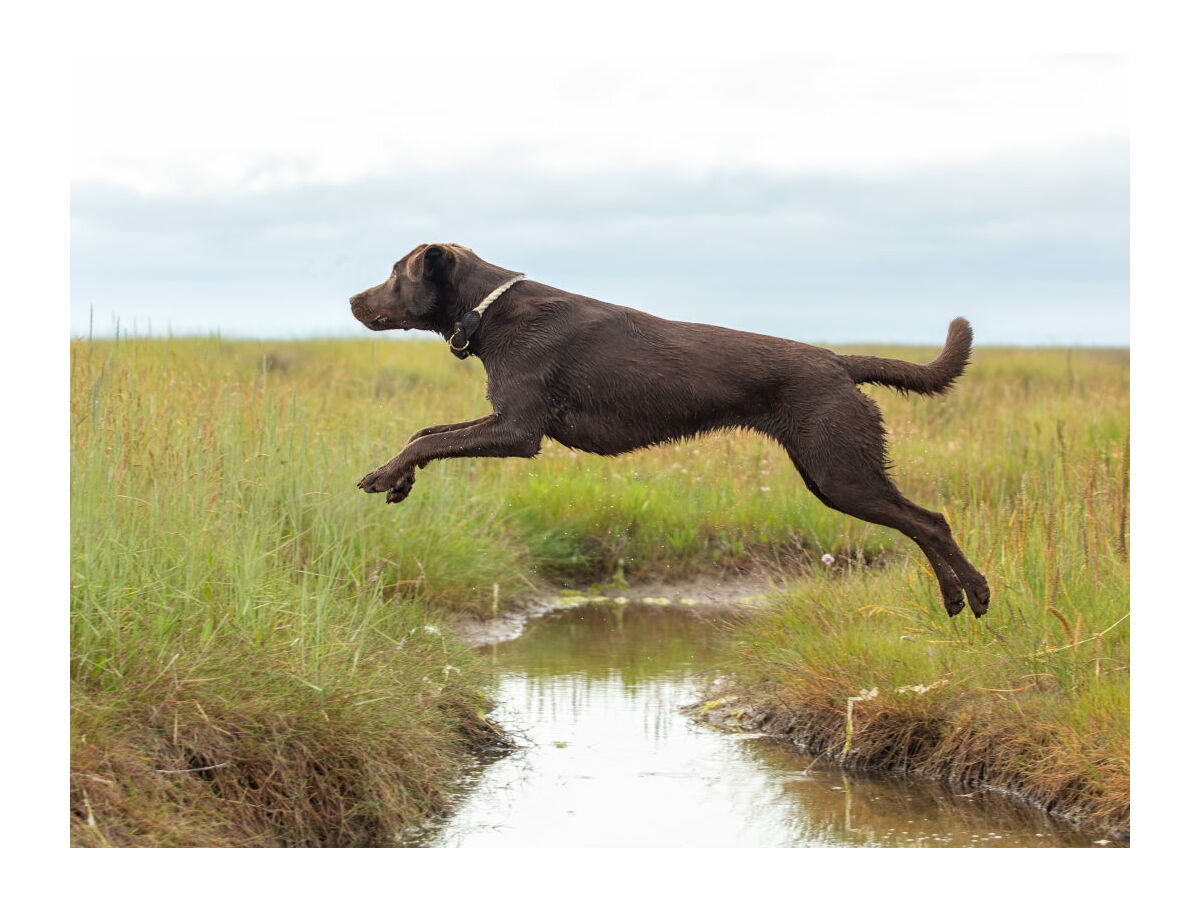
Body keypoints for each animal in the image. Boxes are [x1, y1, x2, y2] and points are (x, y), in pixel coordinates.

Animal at [350, 243, 988, 619]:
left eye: (395, 273)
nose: (353, 299)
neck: (489, 310)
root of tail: (837, 360)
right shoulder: (506, 422)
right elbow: (425, 433)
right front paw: (399, 479)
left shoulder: (518, 431)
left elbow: (433, 438)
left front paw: (382, 475)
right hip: (829, 473)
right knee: (921, 524)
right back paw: (957, 597)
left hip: (841, 472)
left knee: (929, 522)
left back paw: (975, 593)